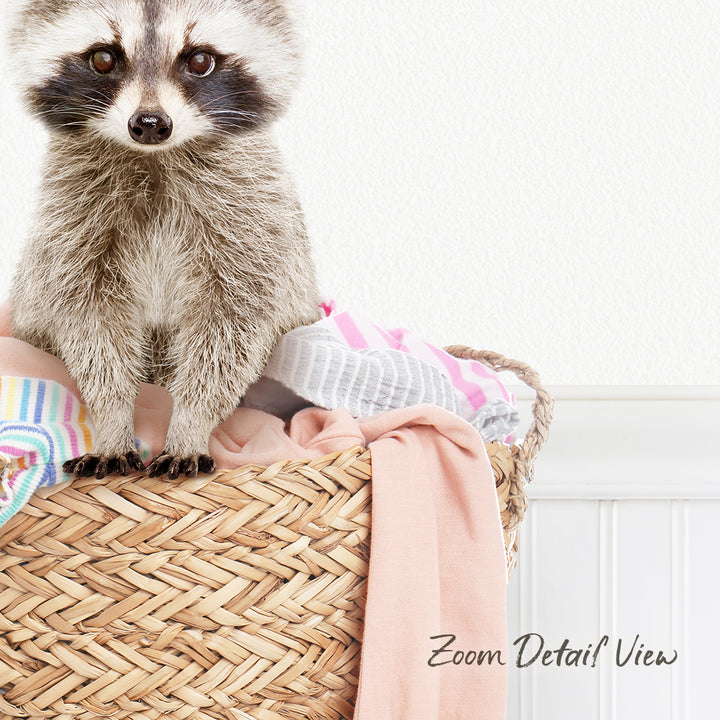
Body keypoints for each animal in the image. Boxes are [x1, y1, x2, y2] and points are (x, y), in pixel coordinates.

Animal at [6, 0, 320, 480]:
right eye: (103, 58)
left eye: (200, 60)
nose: (151, 123)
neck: (155, 158)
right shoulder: (71, 223)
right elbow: (90, 325)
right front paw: (113, 419)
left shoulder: (253, 221)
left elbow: (231, 329)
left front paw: (190, 422)